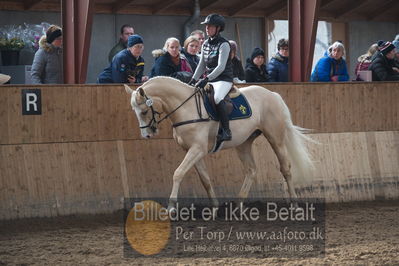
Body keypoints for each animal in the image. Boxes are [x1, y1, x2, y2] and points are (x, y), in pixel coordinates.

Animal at [125, 77, 316, 210]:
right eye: (134, 111)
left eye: (144, 111)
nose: (146, 135)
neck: (186, 108)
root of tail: (272, 94)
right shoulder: (191, 150)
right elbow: (205, 179)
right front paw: (215, 207)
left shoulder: (197, 149)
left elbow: (178, 173)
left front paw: (171, 207)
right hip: (243, 143)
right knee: (251, 170)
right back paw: (238, 205)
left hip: (275, 138)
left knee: (285, 168)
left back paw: (294, 204)